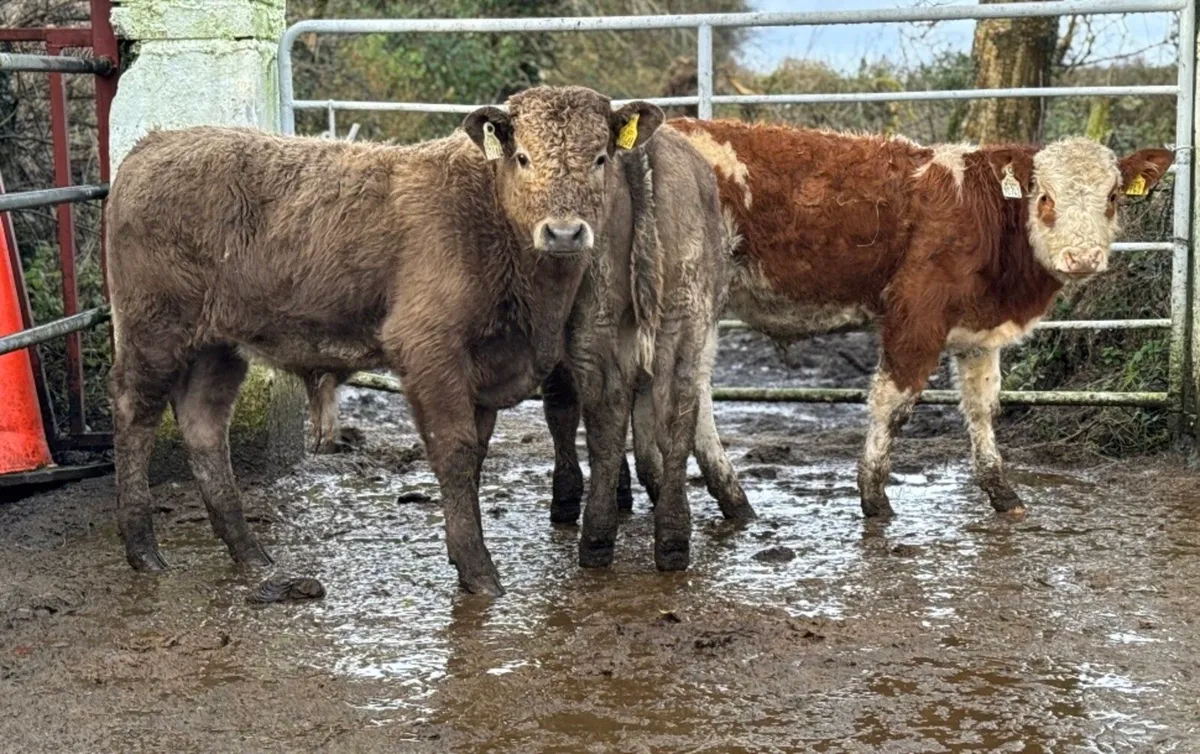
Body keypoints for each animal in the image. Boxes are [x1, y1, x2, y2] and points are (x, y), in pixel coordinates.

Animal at [105, 85, 677, 596]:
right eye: (522, 156)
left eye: (600, 157)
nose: (563, 233)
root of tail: (153, 145)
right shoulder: (429, 349)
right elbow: (455, 451)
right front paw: (479, 571)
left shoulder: (482, 372)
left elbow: (475, 455)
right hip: (153, 333)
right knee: (135, 414)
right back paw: (143, 550)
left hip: (217, 346)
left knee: (204, 426)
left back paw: (249, 552)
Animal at [667, 118, 1174, 519]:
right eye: (1045, 197)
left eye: (1113, 197)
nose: (1082, 256)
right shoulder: (915, 314)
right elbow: (893, 405)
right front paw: (874, 499)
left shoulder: (978, 332)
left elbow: (982, 407)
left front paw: (1002, 492)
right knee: (694, 395)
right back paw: (732, 499)